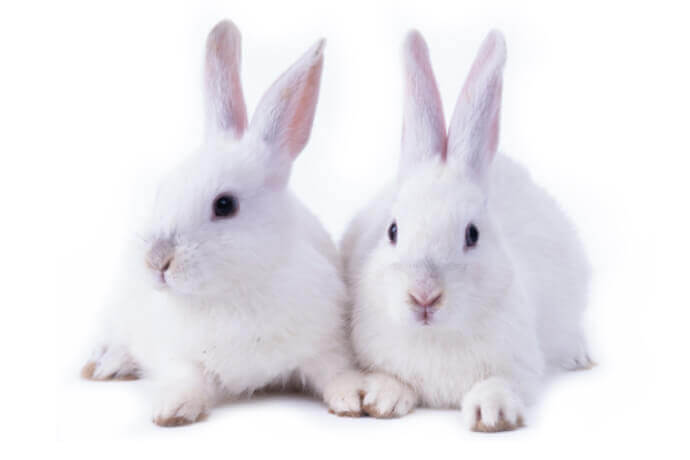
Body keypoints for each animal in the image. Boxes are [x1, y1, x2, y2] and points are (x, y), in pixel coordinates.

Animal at [81, 20, 365, 426]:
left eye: (225, 205)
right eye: (162, 189)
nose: (157, 260)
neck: (232, 292)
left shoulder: (324, 342)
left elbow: (336, 370)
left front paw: (353, 397)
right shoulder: (174, 351)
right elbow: (186, 375)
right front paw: (173, 409)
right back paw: (106, 365)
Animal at [341, 29, 593, 432]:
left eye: (472, 235)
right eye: (392, 230)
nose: (424, 296)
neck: (436, 336)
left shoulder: (518, 365)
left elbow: (498, 382)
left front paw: (493, 413)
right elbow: (391, 378)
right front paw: (383, 399)